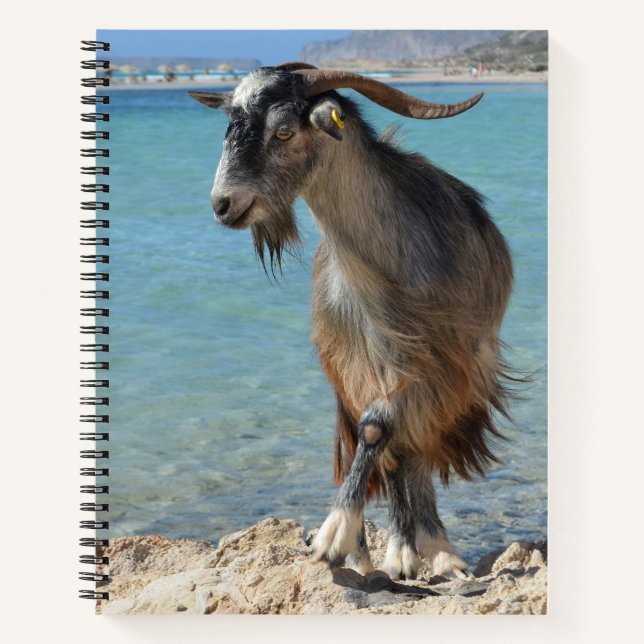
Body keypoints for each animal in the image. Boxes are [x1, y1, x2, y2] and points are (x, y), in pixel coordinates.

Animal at [190, 62, 513, 580]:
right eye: (228, 129)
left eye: (283, 131)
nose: (223, 205)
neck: (389, 272)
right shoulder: (357, 361)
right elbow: (378, 433)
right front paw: (347, 539)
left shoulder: (446, 360)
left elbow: (388, 430)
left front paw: (339, 536)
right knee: (392, 449)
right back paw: (392, 552)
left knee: (411, 444)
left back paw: (432, 551)